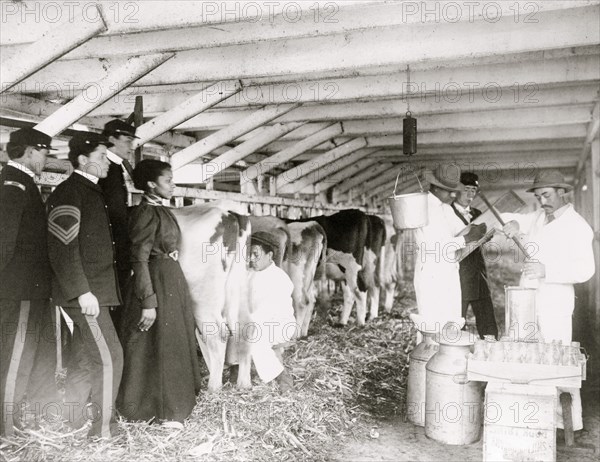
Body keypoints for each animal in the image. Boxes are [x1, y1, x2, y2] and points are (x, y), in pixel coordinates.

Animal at [172, 204, 252, 392]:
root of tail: (229, 213)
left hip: (202, 298)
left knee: (218, 334)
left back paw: (213, 387)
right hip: (239, 286)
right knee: (244, 328)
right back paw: (244, 383)